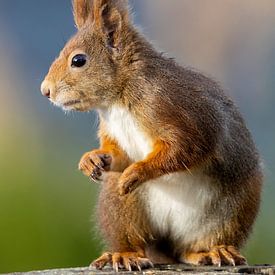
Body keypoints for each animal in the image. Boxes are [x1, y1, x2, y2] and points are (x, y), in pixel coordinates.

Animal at [40, 0, 264, 272]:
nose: (45, 91)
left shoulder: (175, 111)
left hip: (230, 212)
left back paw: (213, 251)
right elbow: (118, 155)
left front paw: (138, 172)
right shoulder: (113, 131)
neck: (117, 99)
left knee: (193, 247)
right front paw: (91, 159)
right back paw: (124, 255)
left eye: (79, 60)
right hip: (121, 209)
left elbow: (185, 148)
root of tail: (168, 241)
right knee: (139, 240)